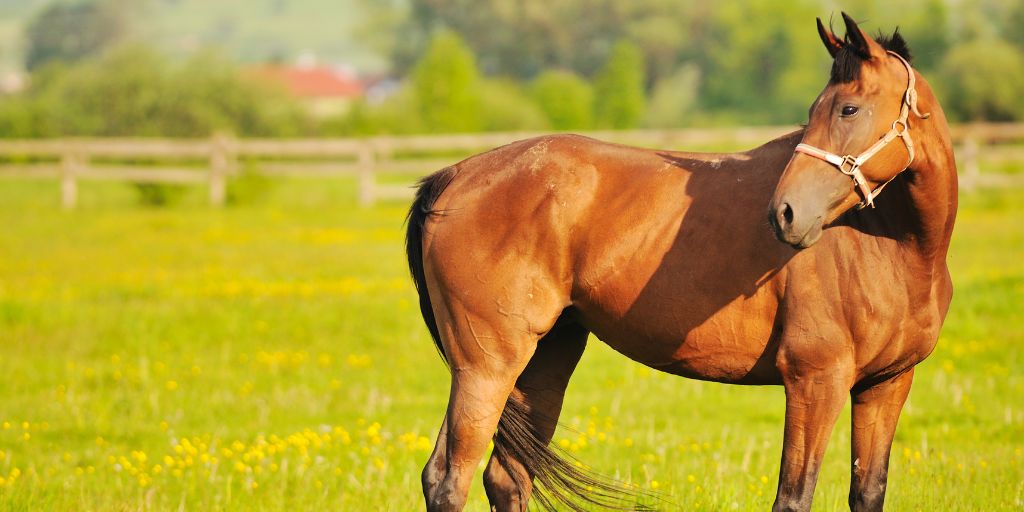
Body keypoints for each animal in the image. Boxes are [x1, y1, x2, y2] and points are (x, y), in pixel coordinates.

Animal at [406, 13, 956, 512]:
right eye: (819, 109)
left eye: (848, 108)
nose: (785, 213)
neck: (891, 245)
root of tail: (452, 178)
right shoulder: (815, 381)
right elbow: (794, 497)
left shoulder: (885, 385)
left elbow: (867, 492)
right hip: (485, 367)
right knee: (447, 479)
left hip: (544, 358)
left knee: (506, 479)